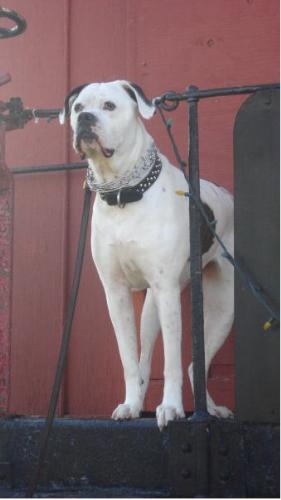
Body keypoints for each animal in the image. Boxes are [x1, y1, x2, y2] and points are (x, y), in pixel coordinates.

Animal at [60, 81, 233, 430]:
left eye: (109, 106)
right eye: (78, 107)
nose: (85, 118)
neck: (123, 192)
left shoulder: (167, 291)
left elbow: (171, 361)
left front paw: (171, 407)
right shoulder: (115, 293)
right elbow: (128, 358)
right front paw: (130, 404)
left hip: (223, 307)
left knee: (190, 365)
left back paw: (209, 410)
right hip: (152, 308)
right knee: (153, 360)